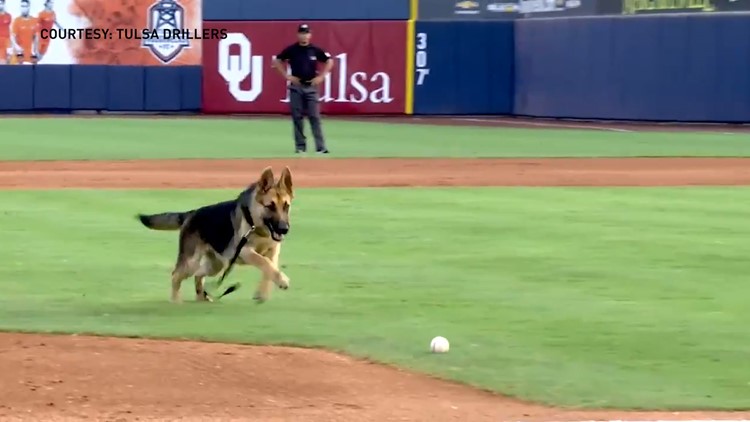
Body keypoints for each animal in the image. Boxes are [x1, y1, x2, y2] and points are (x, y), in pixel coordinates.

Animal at [137, 166, 294, 302]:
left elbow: (270, 266)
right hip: (191, 263)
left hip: (214, 265)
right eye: (270, 206)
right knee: (176, 276)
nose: (284, 229)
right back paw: (176, 301)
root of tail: (191, 214)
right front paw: (282, 280)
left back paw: (202, 298)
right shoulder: (244, 250)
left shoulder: (273, 251)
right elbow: (264, 262)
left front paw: (263, 292)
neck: (256, 225)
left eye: (286, 206)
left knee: (198, 275)